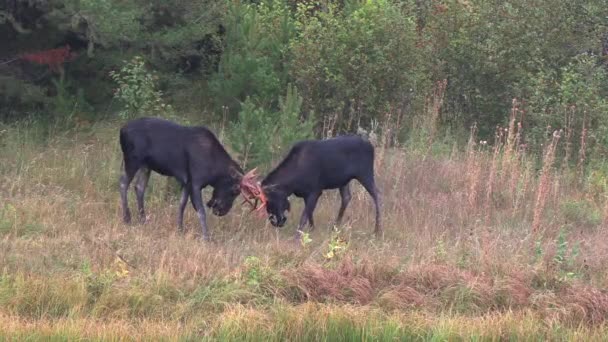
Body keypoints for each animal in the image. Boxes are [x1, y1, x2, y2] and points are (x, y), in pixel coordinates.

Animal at [117, 117, 262, 240]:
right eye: (235, 190)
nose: (221, 211)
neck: (214, 172)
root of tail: (121, 130)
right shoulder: (196, 182)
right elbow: (201, 211)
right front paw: (206, 238)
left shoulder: (187, 182)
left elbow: (181, 205)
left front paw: (180, 229)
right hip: (132, 159)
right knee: (123, 183)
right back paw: (127, 218)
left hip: (146, 166)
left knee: (139, 187)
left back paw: (143, 219)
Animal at [247, 134, 380, 238]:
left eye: (273, 200)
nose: (277, 222)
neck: (292, 183)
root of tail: (371, 146)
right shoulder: (306, 194)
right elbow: (310, 214)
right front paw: (312, 231)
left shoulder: (315, 191)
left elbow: (304, 217)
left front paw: (297, 238)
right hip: (343, 181)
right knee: (347, 197)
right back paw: (335, 227)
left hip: (365, 173)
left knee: (377, 194)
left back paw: (377, 230)